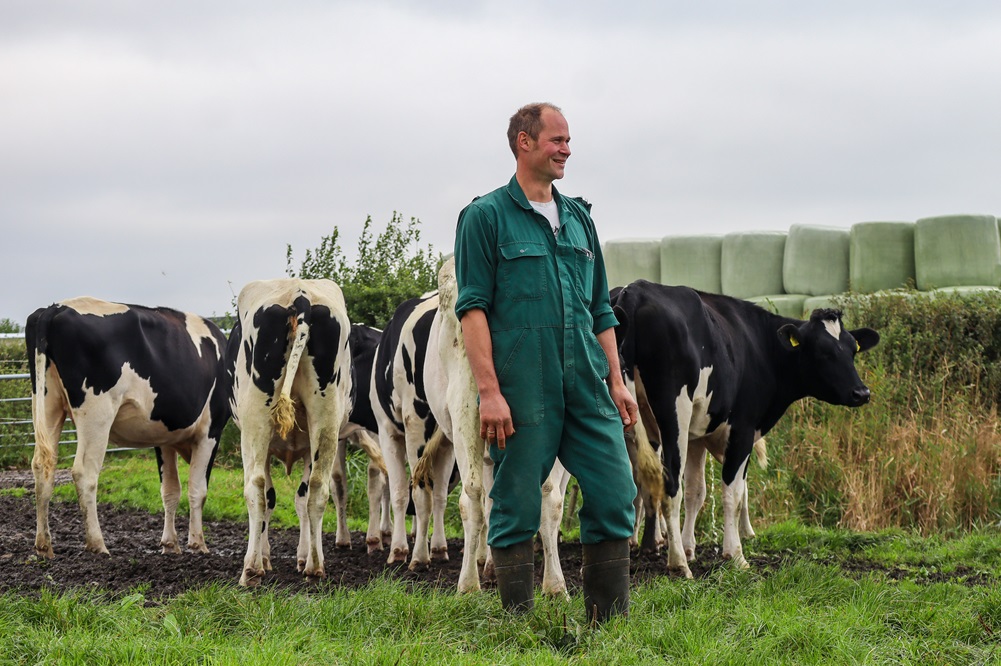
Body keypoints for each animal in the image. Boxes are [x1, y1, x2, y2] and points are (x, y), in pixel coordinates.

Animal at [25, 296, 230, 556]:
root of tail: (56, 307)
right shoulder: (211, 431)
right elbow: (198, 489)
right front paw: (198, 544)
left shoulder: (165, 437)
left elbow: (170, 490)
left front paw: (170, 544)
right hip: (97, 412)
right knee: (84, 473)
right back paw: (97, 544)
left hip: (47, 404)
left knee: (43, 466)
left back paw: (44, 546)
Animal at [229, 278, 354, 584]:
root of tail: (300, 293)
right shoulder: (309, 446)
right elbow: (300, 497)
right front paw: (301, 556)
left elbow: (270, 496)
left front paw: (264, 558)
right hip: (326, 414)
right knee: (319, 488)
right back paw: (315, 566)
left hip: (255, 419)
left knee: (255, 486)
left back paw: (250, 569)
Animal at [368, 288, 450, 568]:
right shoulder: (446, 444)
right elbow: (441, 495)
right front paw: (439, 548)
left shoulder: (388, 432)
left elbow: (400, 492)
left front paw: (399, 549)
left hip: (416, 422)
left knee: (420, 493)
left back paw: (418, 557)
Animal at [608, 278, 876, 572]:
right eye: (824, 352)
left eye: (853, 350)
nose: (862, 393)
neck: (761, 348)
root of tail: (635, 289)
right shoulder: (742, 430)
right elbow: (733, 493)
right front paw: (735, 555)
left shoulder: (697, 436)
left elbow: (696, 492)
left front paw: (691, 548)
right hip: (673, 414)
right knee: (670, 489)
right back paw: (678, 563)